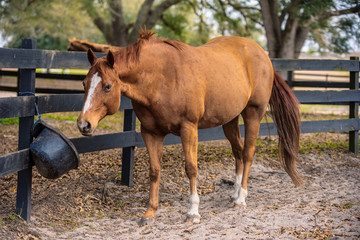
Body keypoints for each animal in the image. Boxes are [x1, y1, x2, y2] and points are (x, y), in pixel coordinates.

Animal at [77, 30, 302, 225]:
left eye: (107, 86)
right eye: (84, 83)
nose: (84, 124)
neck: (161, 77)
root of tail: (262, 54)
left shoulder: (189, 128)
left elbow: (191, 168)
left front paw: (193, 212)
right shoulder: (150, 133)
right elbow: (154, 171)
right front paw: (149, 213)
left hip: (253, 114)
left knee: (247, 153)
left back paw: (241, 198)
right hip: (229, 120)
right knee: (238, 151)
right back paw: (234, 193)